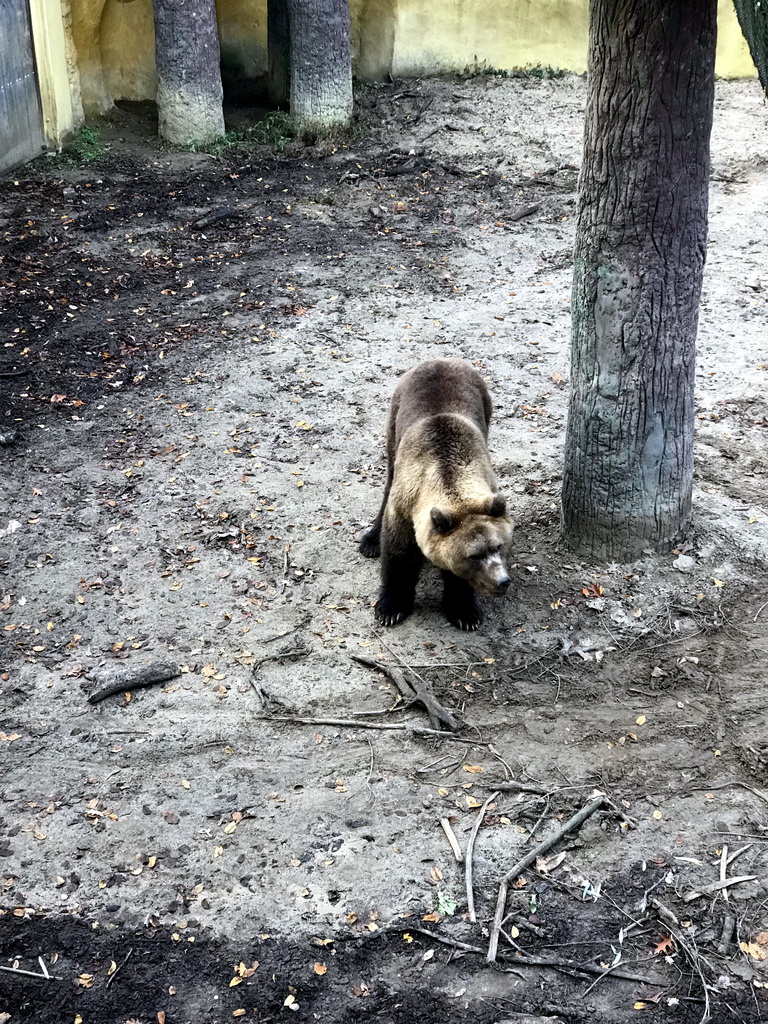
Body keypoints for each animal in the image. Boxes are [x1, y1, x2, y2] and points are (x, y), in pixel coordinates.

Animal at [360, 360, 514, 630]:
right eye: (474, 555)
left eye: (498, 546)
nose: (502, 581)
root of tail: (442, 360)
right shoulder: (404, 506)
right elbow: (398, 554)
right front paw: (391, 608)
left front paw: (464, 612)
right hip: (395, 418)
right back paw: (370, 541)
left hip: (486, 407)